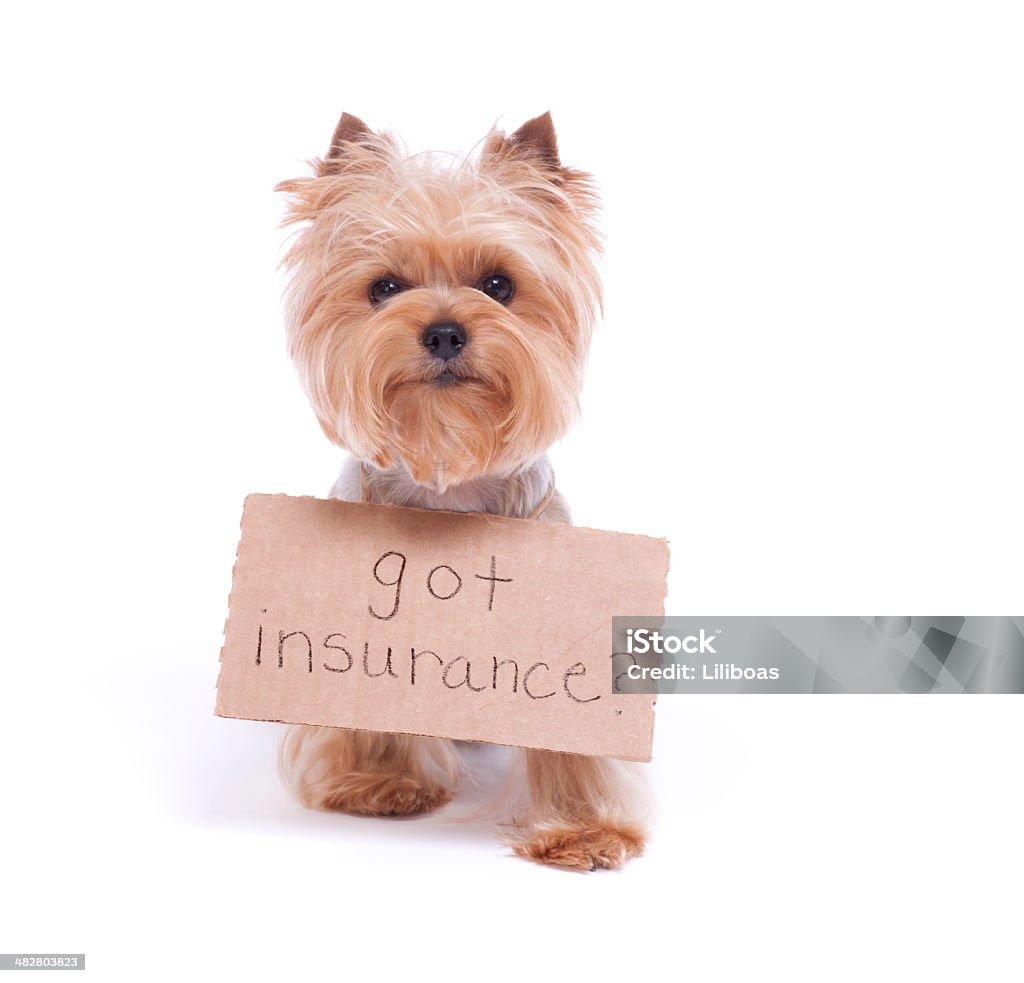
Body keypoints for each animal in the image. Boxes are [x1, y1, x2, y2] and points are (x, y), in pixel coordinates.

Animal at [272, 111, 647, 872]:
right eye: (384, 287)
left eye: (499, 284)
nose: (444, 331)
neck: (449, 461)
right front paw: (378, 779)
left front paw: (582, 827)